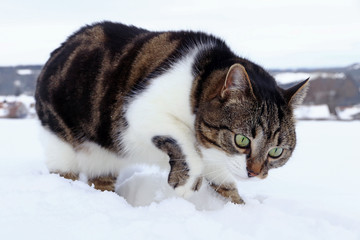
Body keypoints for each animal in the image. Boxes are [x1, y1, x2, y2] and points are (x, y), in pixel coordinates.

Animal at [35, 21, 308, 204]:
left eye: (276, 152)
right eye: (242, 140)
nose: (255, 173)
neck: (199, 79)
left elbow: (225, 184)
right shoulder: (138, 112)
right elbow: (185, 142)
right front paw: (186, 184)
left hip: (104, 159)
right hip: (61, 142)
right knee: (65, 171)